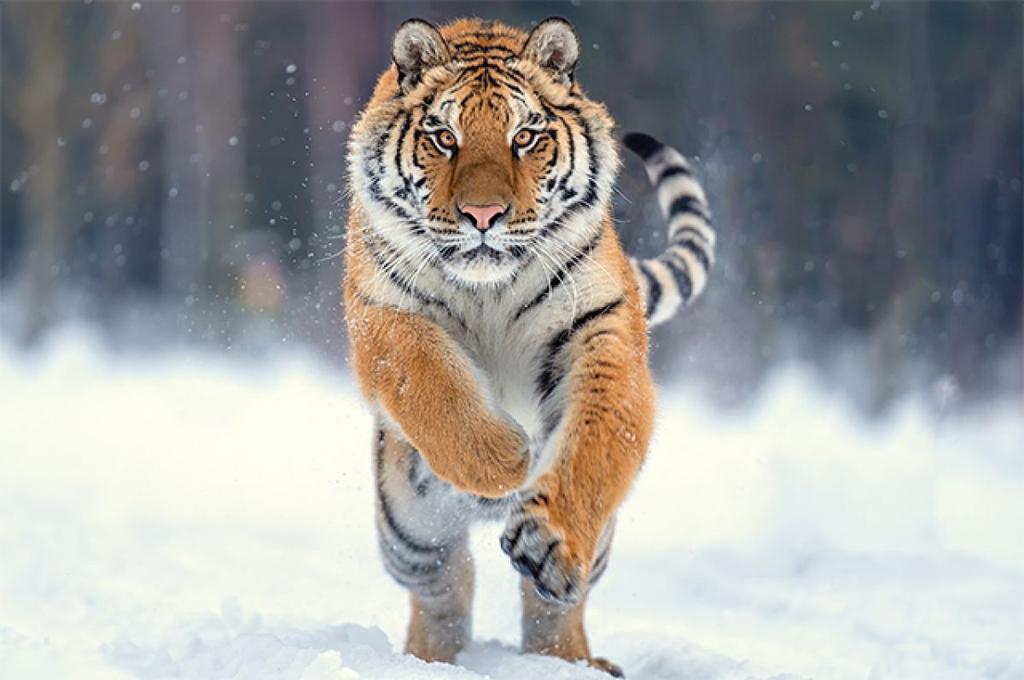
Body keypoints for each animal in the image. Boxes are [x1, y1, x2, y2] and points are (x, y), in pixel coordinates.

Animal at [343, 16, 715, 677]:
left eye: (525, 137)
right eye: (444, 137)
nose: (483, 214)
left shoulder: (601, 330)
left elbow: (597, 441)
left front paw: (550, 538)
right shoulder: (384, 314)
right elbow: (431, 383)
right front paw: (505, 459)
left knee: (552, 607)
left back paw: (571, 660)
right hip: (408, 531)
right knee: (445, 586)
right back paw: (428, 660)